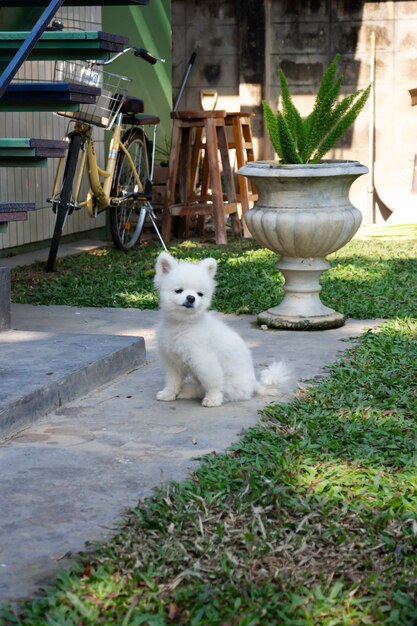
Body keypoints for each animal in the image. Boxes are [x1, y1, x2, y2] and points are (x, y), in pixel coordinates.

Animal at [153, 251, 290, 408]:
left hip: (230, 383)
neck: (183, 324)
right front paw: (168, 393)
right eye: (178, 291)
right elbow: (172, 380)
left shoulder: (204, 361)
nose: (191, 298)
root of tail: (254, 384)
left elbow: (212, 382)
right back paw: (185, 391)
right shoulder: (172, 360)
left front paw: (213, 398)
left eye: (200, 294)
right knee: (198, 388)